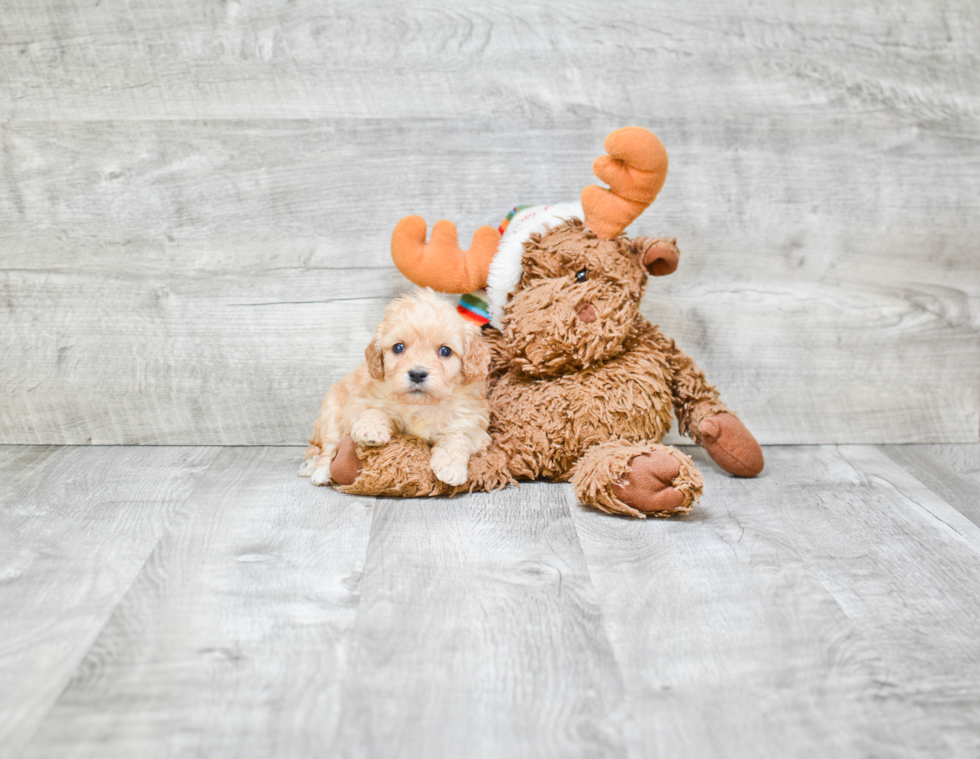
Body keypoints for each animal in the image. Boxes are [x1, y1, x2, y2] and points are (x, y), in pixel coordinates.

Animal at [298, 288, 490, 490]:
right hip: (331, 410)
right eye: (399, 348)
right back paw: (320, 470)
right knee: (328, 444)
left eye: (445, 351)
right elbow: (374, 410)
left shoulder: (474, 427)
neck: (421, 404)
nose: (417, 374)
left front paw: (450, 467)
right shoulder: (361, 401)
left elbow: (458, 437)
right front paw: (370, 430)